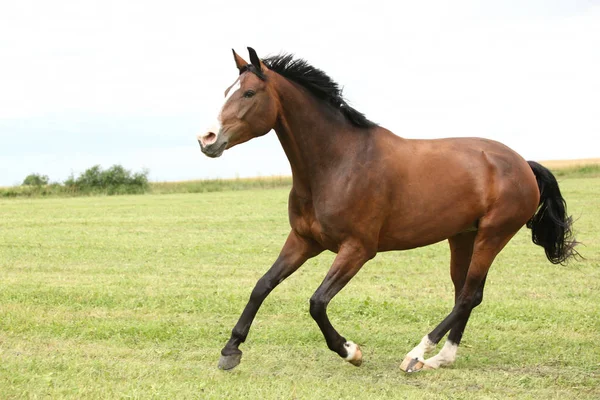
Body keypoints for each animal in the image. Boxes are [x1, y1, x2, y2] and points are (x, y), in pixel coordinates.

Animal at [196, 48, 576, 374]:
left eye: (248, 93)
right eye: (228, 90)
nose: (206, 139)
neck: (338, 163)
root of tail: (523, 164)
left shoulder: (358, 249)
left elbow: (317, 302)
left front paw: (351, 352)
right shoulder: (303, 241)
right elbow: (262, 285)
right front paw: (230, 351)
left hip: (493, 235)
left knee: (470, 294)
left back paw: (416, 355)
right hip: (463, 237)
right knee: (464, 293)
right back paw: (440, 359)